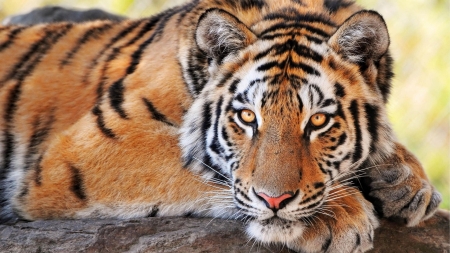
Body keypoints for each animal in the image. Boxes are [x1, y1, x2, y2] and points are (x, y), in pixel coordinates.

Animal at [0, 0, 442, 252]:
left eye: (318, 120)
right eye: (247, 117)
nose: (275, 201)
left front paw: (406, 182)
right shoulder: (88, 149)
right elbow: (207, 170)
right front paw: (341, 216)